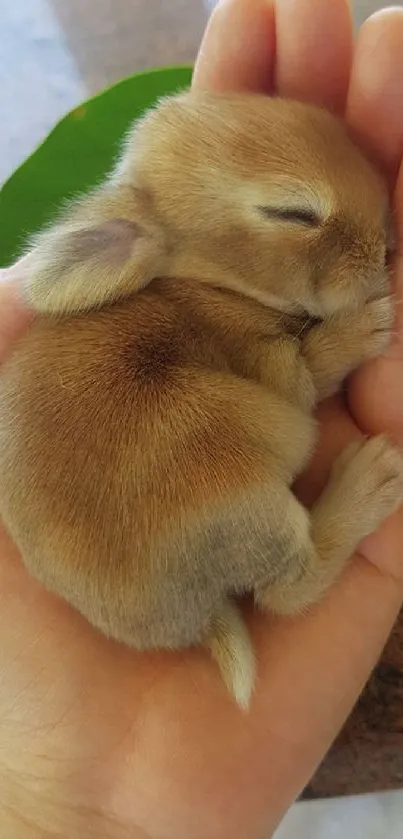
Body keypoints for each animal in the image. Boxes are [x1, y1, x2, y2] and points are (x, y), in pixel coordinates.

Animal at [0, 92, 403, 708]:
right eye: (293, 214)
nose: (384, 251)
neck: (210, 283)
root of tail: (193, 622)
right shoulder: (273, 366)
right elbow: (315, 368)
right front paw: (371, 323)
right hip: (244, 487)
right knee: (286, 591)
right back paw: (371, 478)